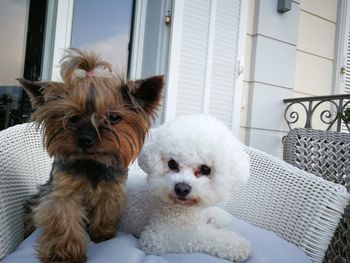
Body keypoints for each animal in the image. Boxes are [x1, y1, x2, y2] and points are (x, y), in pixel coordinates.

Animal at [19, 49, 165, 263]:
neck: (93, 162)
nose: (86, 139)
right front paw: (65, 255)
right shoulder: (63, 191)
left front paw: (102, 235)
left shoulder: (111, 189)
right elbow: (64, 219)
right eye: (73, 117)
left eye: (113, 118)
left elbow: (106, 210)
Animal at [120, 115, 252, 262]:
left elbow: (212, 213)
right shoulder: (155, 238)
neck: (186, 209)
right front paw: (236, 245)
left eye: (205, 169)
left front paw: (219, 216)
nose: (182, 189)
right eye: (172, 163)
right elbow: (200, 235)